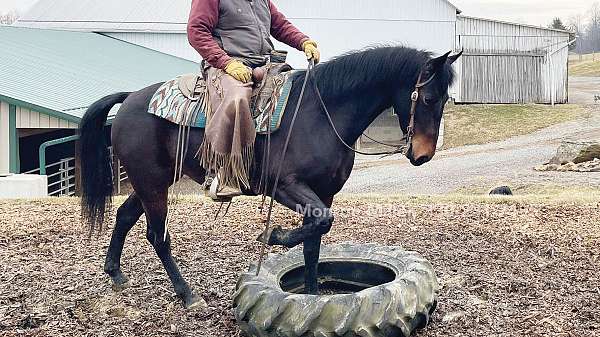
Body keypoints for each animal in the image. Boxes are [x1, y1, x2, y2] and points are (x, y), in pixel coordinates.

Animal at [78, 46, 460, 308]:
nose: (423, 155)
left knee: (124, 215)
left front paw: (311, 294)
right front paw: (273, 235)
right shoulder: (288, 187)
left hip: (149, 184)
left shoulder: (323, 192)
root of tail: (130, 99)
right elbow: (321, 223)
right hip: (152, 184)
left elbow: (315, 240)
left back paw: (114, 272)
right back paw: (187, 295)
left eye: (445, 98)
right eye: (428, 97)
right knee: (158, 236)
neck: (321, 113)